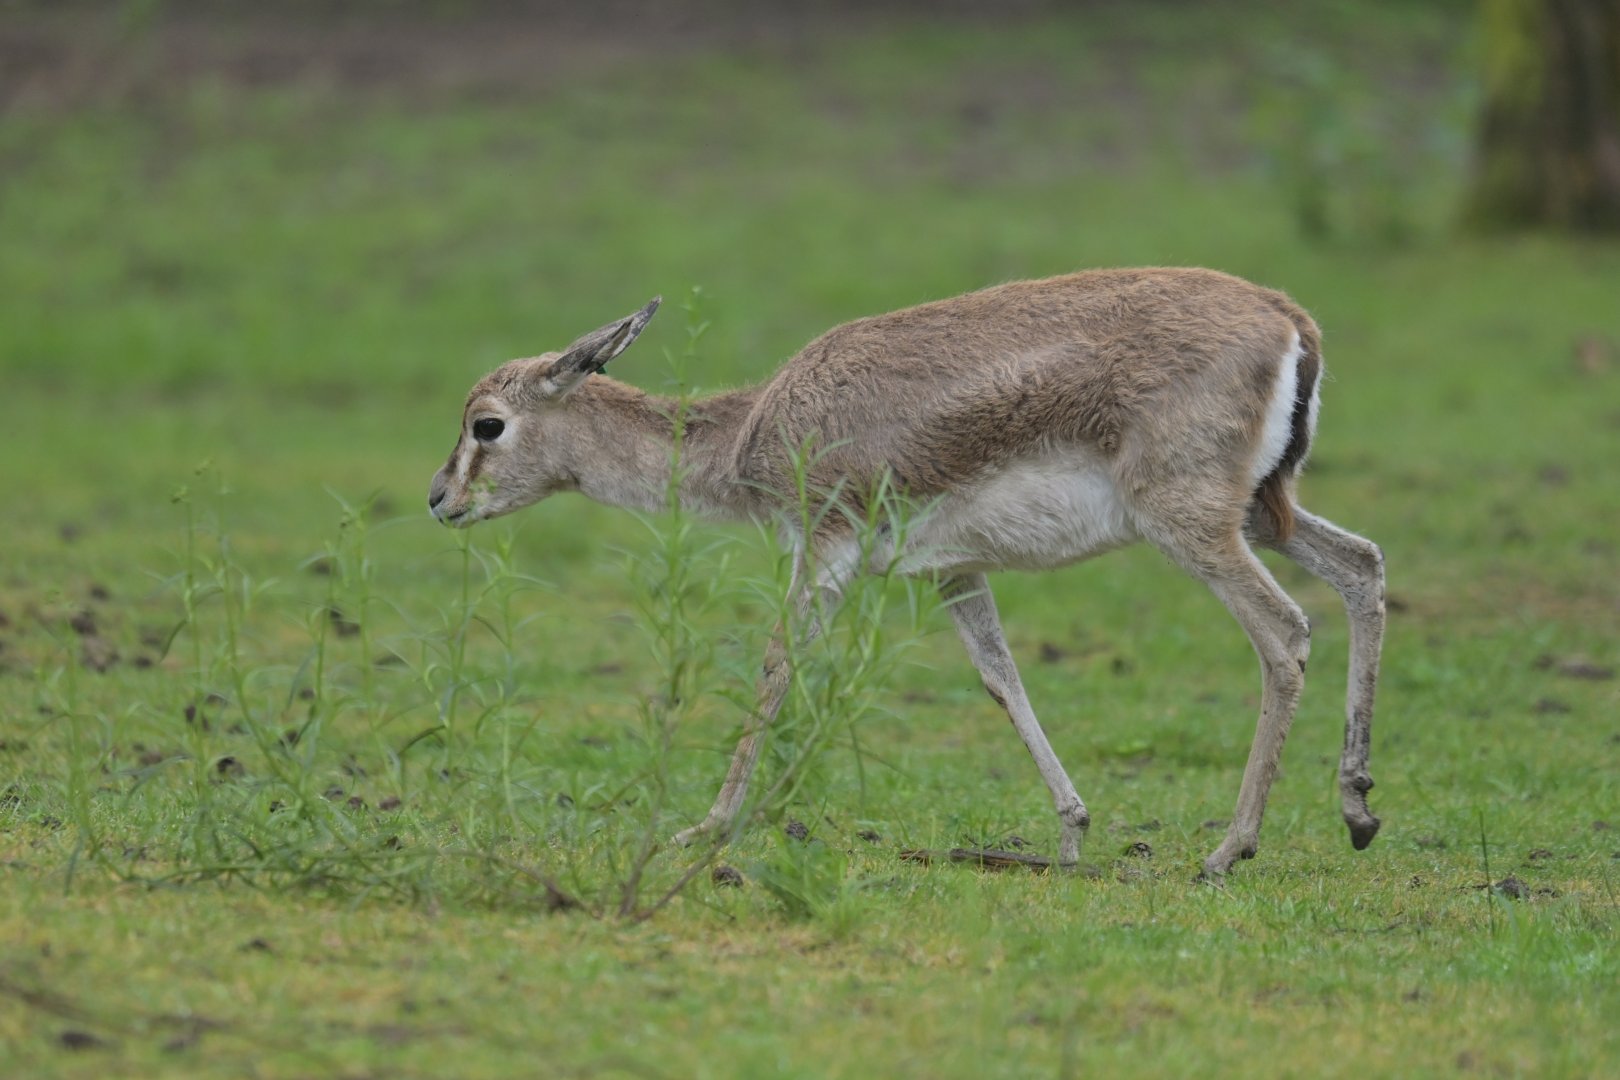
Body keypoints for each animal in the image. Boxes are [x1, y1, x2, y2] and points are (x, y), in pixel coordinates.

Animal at [428, 268, 1386, 879]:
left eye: (487, 424)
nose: (439, 500)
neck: (752, 430)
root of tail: (1288, 319)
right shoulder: (951, 571)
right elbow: (1002, 680)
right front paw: (1072, 834)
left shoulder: (825, 552)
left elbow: (776, 665)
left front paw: (706, 827)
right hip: (1262, 513)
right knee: (1364, 568)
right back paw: (1359, 811)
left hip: (1191, 527)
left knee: (1285, 633)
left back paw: (1229, 850)